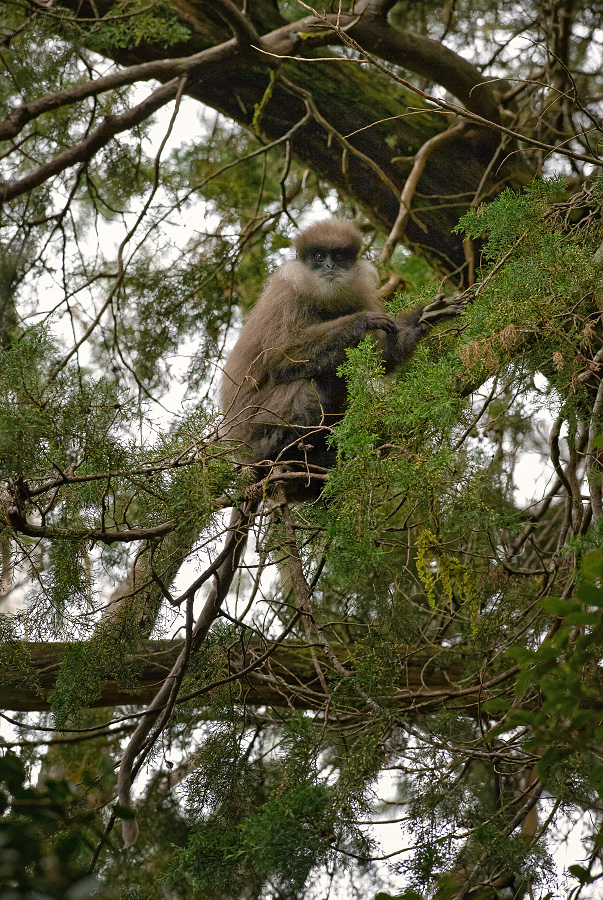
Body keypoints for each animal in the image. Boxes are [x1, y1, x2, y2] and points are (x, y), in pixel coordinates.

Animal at [221, 219, 462, 486]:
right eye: (318, 256)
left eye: (338, 256)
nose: (329, 265)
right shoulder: (287, 297)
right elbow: (279, 357)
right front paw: (360, 322)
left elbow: (382, 358)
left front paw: (423, 317)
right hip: (255, 426)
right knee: (305, 388)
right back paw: (284, 456)